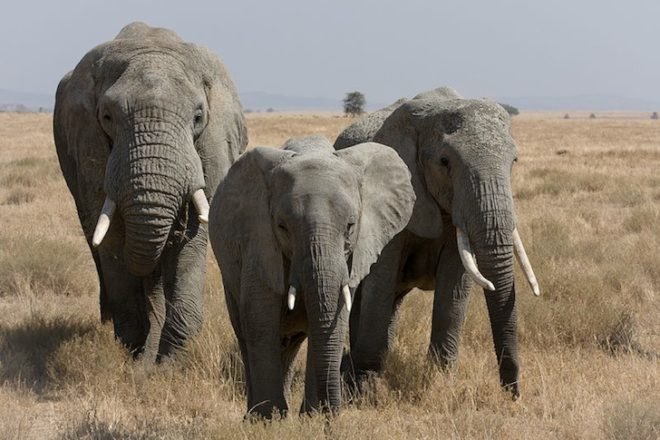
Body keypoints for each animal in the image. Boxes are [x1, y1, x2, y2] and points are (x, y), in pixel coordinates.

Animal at [53, 22, 247, 363]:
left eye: (198, 117)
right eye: (106, 117)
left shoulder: (212, 146)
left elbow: (194, 236)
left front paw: (169, 362)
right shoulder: (88, 145)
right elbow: (112, 236)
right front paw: (135, 353)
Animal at [209, 135, 415, 417]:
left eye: (350, 226)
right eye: (282, 227)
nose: (333, 416)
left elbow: (334, 321)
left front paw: (311, 417)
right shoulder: (258, 240)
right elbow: (260, 319)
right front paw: (266, 420)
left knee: (290, 342)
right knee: (247, 332)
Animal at [334, 87, 539, 399]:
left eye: (514, 162)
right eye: (445, 162)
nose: (513, 395)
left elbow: (454, 288)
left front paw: (439, 382)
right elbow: (380, 280)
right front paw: (367, 388)